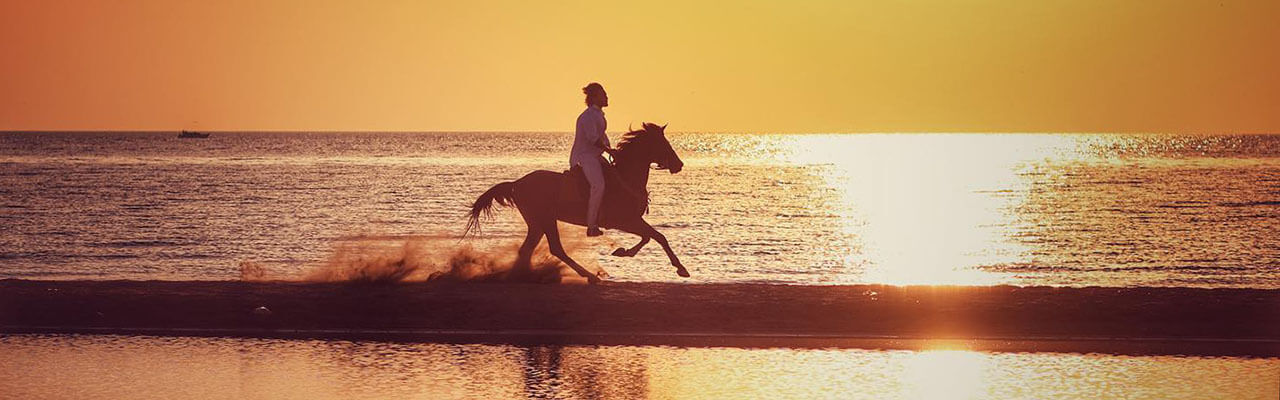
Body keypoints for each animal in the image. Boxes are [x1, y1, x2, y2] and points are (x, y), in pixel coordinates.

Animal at [468, 123, 691, 283]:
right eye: (664, 144)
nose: (679, 165)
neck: (625, 177)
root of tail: (516, 183)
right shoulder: (624, 220)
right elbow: (657, 236)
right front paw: (681, 268)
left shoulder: (631, 220)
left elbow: (650, 237)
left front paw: (622, 251)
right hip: (545, 219)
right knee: (556, 248)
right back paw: (589, 275)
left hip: (537, 223)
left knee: (528, 249)